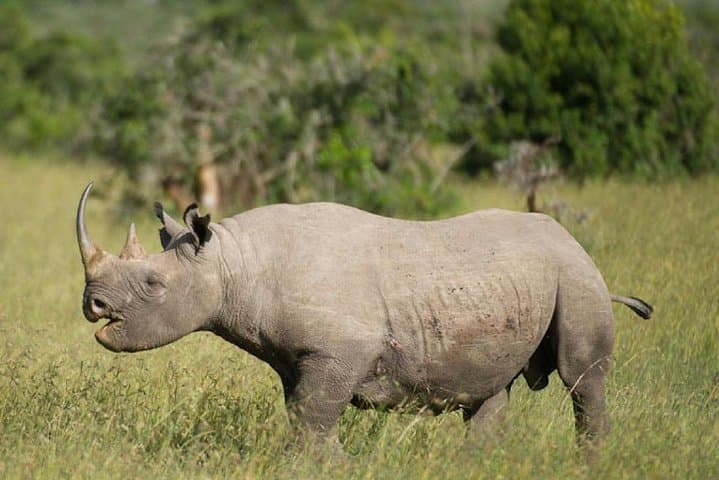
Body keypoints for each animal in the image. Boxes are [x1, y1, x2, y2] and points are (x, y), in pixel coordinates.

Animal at [76, 182, 652, 446]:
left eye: (153, 285)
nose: (93, 304)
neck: (234, 264)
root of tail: (574, 242)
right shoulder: (298, 359)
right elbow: (307, 420)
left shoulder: (337, 350)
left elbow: (313, 424)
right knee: (489, 393)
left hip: (576, 275)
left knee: (582, 380)